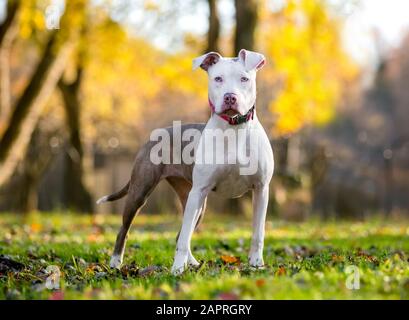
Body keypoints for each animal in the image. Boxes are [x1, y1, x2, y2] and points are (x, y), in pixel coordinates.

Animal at [97, 49, 272, 276]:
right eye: (218, 78)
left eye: (244, 79)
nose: (230, 97)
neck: (234, 129)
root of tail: (154, 135)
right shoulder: (199, 190)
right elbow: (183, 239)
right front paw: (177, 270)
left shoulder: (261, 189)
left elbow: (258, 233)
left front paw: (256, 264)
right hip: (142, 191)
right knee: (125, 231)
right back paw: (115, 263)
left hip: (194, 201)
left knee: (181, 234)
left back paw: (194, 263)